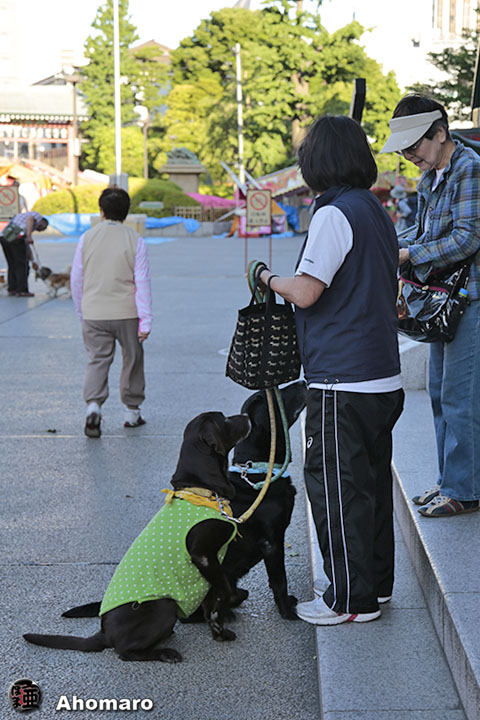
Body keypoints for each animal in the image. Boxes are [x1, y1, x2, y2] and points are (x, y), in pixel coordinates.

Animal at [23, 411, 251, 663]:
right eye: (224, 419)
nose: (246, 415)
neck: (201, 491)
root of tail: (103, 633)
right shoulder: (204, 556)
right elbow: (223, 592)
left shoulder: (211, 566)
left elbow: (213, 606)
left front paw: (219, 633)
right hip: (164, 605)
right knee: (124, 652)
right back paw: (164, 652)